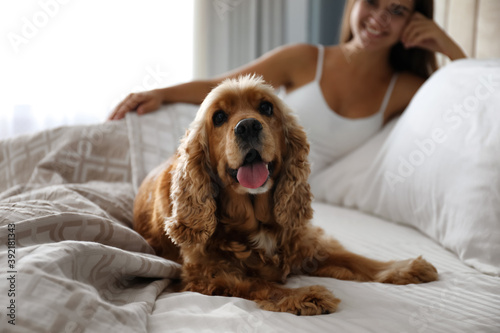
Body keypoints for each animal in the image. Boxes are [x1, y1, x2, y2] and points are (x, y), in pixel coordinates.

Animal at [134, 74, 438, 314]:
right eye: (218, 117)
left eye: (266, 107)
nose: (248, 126)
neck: (256, 221)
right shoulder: (206, 274)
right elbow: (260, 283)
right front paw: (304, 295)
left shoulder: (307, 243)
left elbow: (354, 258)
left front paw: (403, 267)